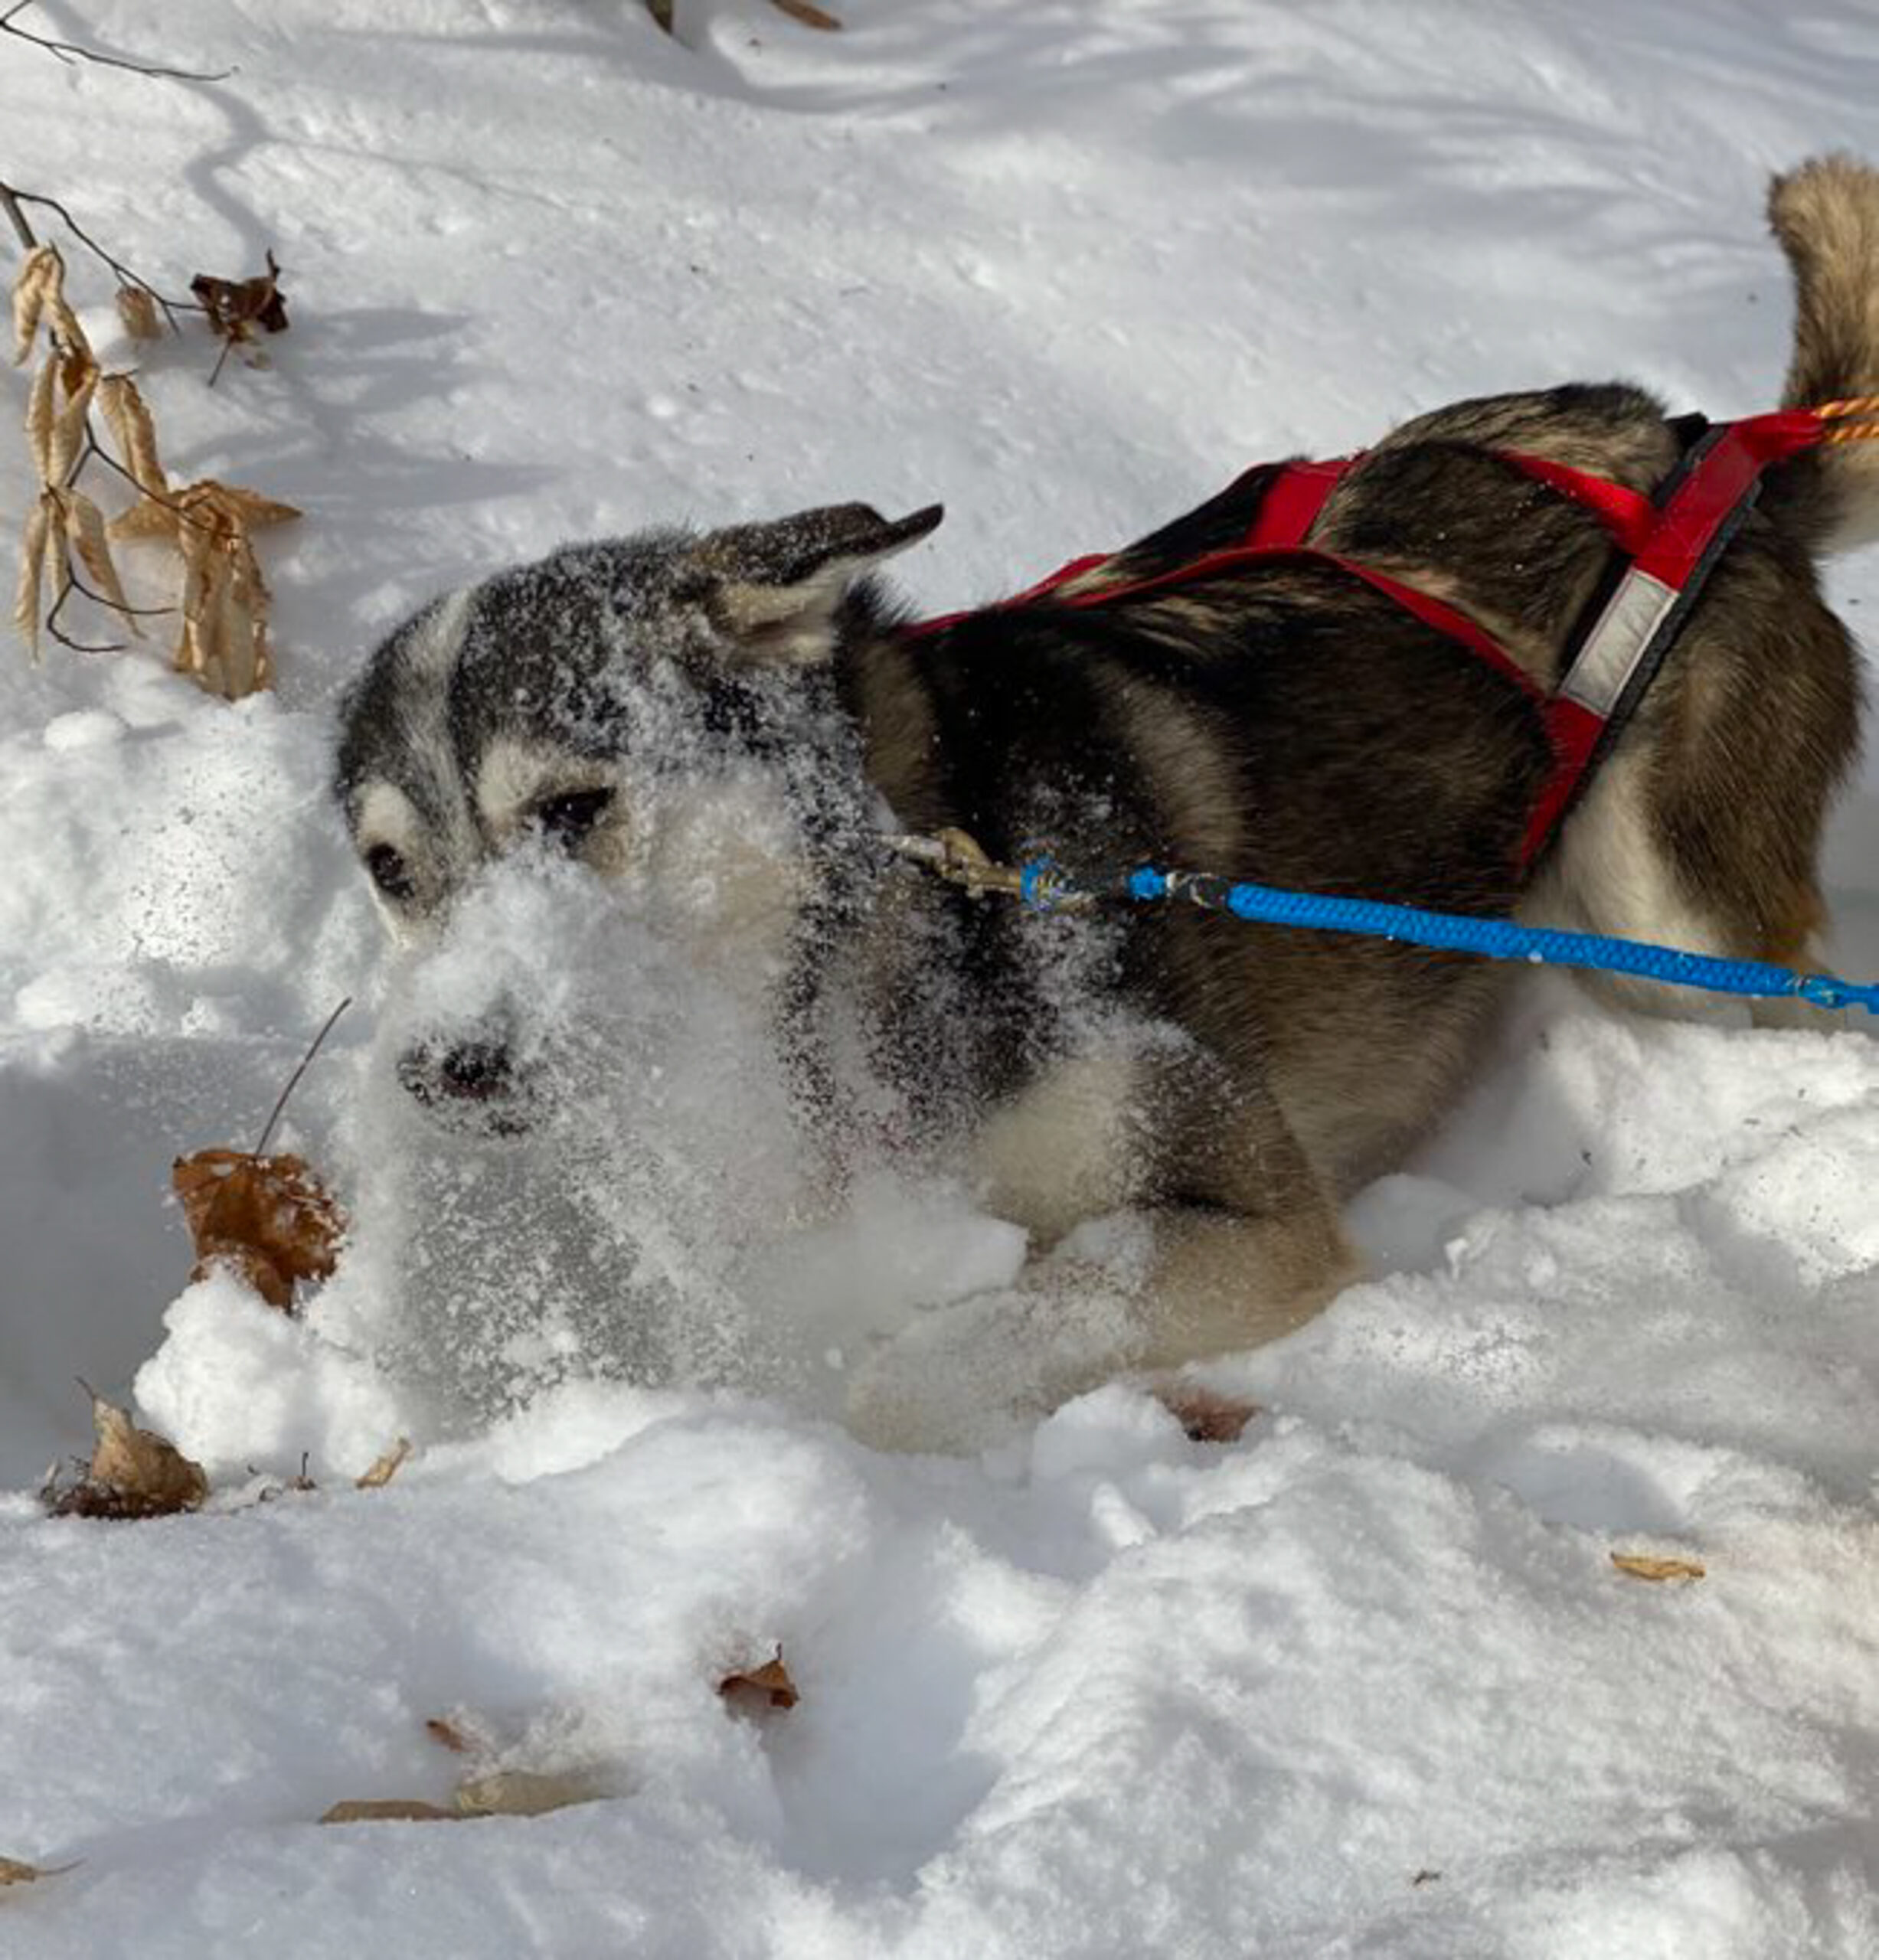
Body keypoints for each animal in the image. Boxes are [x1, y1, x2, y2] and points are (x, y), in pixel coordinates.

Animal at [337, 160, 1879, 1450]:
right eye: (389, 872)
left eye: (570, 808)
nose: (445, 1068)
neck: (877, 934)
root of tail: (1704, 446)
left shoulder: (1245, 1216)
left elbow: (914, 1369)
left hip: (1666, 915)